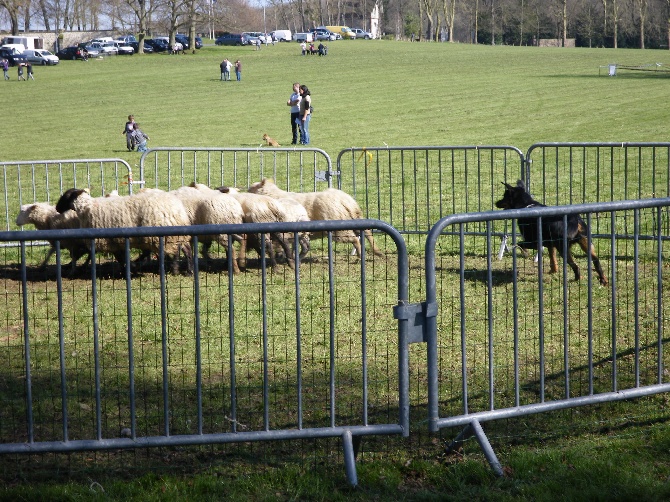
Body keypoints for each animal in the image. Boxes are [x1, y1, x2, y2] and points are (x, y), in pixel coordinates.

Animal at [56, 187, 193, 274]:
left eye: (66, 196)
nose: (57, 208)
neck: (86, 207)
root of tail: (178, 208)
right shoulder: (116, 242)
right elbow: (121, 257)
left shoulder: (110, 241)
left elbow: (120, 258)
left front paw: (127, 269)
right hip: (174, 234)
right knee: (185, 249)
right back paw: (188, 271)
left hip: (163, 236)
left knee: (176, 251)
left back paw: (175, 269)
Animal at [248, 177, 386, 256]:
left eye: (250, 189)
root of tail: (345, 201)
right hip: (356, 219)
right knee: (368, 233)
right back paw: (377, 251)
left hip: (340, 229)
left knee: (355, 239)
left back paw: (360, 254)